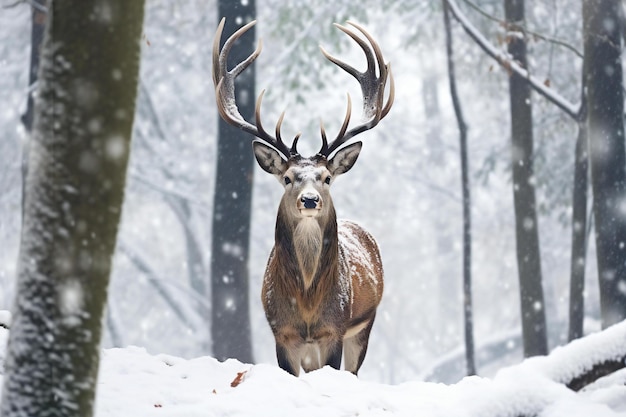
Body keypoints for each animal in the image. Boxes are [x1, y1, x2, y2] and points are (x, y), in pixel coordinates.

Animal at [212, 17, 392, 376]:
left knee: (354, 371)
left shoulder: (334, 329)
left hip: (365, 325)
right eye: (287, 178)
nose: (309, 200)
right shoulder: (282, 333)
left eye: (327, 178)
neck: (307, 306)